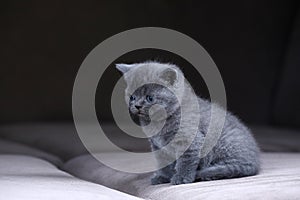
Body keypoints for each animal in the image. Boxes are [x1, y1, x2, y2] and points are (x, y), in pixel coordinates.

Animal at [116, 61, 262, 185]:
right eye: (132, 97)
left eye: (150, 98)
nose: (137, 106)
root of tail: (255, 161)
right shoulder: (158, 147)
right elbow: (163, 163)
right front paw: (162, 177)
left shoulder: (190, 140)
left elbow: (186, 161)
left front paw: (181, 178)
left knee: (233, 167)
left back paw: (207, 174)